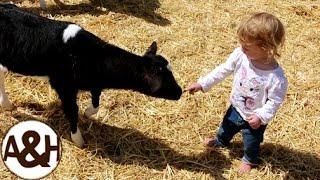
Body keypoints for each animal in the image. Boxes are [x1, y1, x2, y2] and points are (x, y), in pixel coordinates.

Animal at [0, 3, 182, 148]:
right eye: (166, 80)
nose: (180, 92)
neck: (91, 56)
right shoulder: (64, 87)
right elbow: (72, 112)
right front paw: (79, 140)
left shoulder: (94, 83)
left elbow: (95, 103)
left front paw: (87, 114)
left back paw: (7, 105)